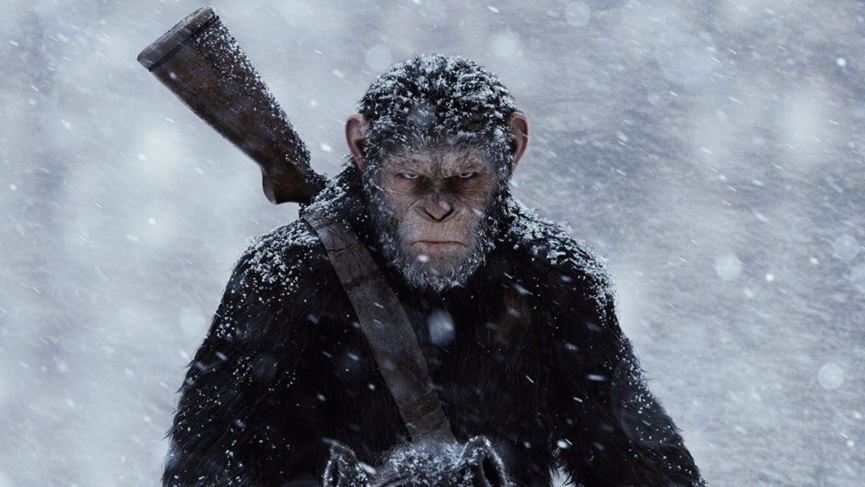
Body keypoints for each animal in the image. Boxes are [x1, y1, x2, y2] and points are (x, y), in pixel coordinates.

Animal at [162, 55, 707, 487]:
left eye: (466, 173)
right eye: (409, 174)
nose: (438, 212)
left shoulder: (578, 288)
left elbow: (624, 442)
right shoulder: (269, 289)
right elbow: (217, 451)